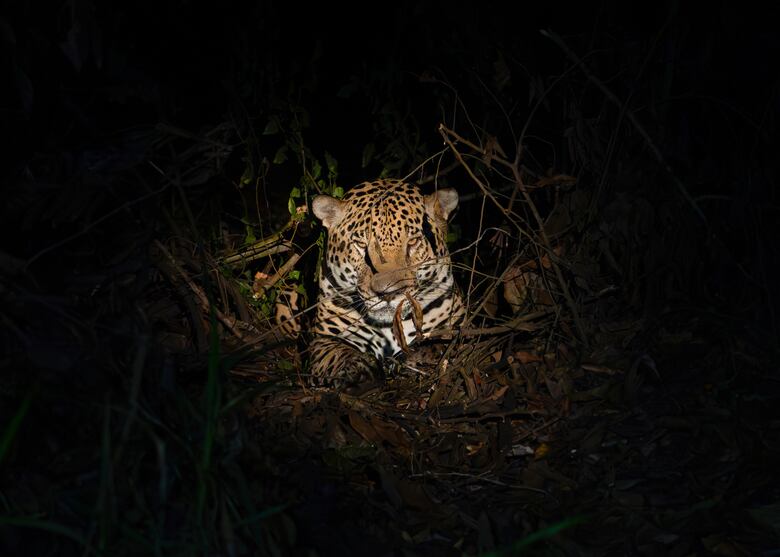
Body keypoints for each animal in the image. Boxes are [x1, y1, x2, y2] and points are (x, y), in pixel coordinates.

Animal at [309, 179, 464, 388]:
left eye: (413, 242)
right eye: (361, 245)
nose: (388, 293)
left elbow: (442, 343)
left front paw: (413, 359)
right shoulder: (323, 338)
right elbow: (336, 353)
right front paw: (358, 367)